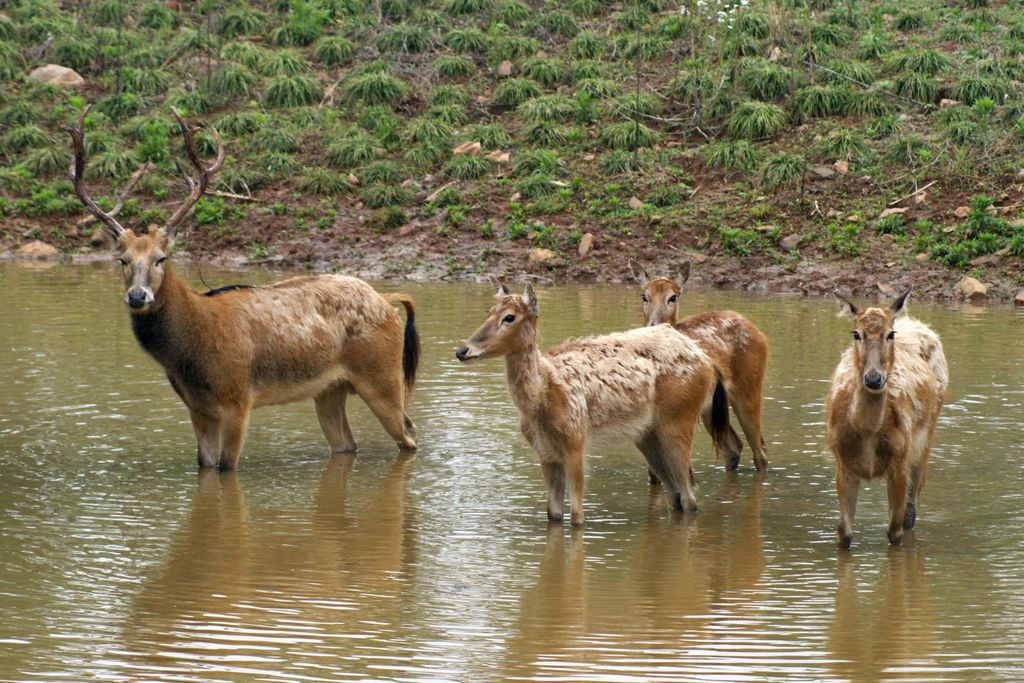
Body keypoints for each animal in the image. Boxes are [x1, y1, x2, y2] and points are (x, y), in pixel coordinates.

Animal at [66, 108, 417, 471]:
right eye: (122, 259)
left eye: (161, 258)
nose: (138, 296)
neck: (192, 349)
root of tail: (387, 301)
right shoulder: (197, 407)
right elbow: (205, 465)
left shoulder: (237, 398)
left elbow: (225, 467)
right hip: (330, 389)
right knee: (348, 444)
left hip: (382, 375)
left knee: (408, 432)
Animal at [456, 278, 729, 528]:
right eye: (489, 312)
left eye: (509, 317)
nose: (462, 350)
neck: (542, 396)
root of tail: (706, 362)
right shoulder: (545, 452)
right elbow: (553, 515)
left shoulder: (576, 441)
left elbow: (577, 517)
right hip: (647, 434)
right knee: (678, 494)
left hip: (679, 419)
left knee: (689, 492)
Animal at [630, 259, 770, 473]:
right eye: (644, 296)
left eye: (673, 297)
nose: (653, 325)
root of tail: (759, 333)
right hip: (712, 406)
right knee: (734, 446)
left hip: (749, 387)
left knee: (759, 452)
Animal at [827, 290, 946, 548]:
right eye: (856, 333)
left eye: (890, 333)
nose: (873, 379)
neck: (867, 433)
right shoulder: (842, 463)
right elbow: (843, 534)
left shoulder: (899, 461)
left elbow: (895, 532)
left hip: (926, 437)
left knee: (910, 513)